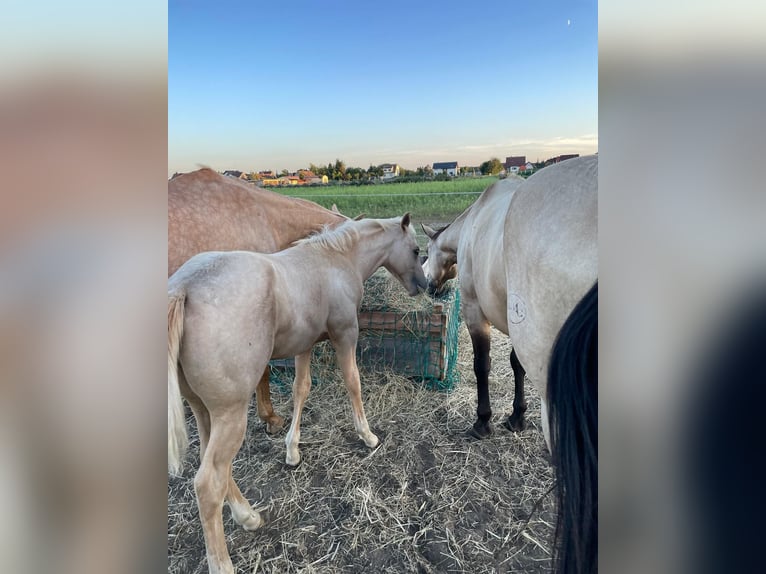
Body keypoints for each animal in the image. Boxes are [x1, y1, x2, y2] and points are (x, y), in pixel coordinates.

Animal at [166, 216, 426, 574]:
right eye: (415, 249)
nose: (425, 286)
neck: (337, 259)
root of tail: (184, 288)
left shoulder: (305, 345)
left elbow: (301, 390)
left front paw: (292, 450)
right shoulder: (345, 335)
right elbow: (353, 382)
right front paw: (367, 435)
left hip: (204, 410)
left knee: (214, 466)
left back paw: (247, 516)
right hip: (231, 414)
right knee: (207, 485)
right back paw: (224, 559)